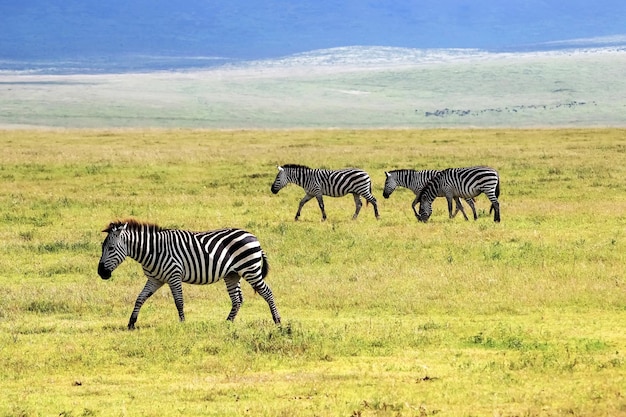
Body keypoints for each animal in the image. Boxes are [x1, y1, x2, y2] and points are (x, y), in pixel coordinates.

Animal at [97, 219, 280, 330]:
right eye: (102, 247)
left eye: (111, 248)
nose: (101, 273)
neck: (153, 250)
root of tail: (253, 237)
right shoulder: (155, 279)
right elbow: (140, 298)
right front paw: (131, 323)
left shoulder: (174, 275)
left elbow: (179, 301)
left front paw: (182, 323)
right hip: (232, 274)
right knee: (237, 299)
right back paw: (227, 323)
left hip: (250, 269)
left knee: (267, 292)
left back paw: (277, 321)